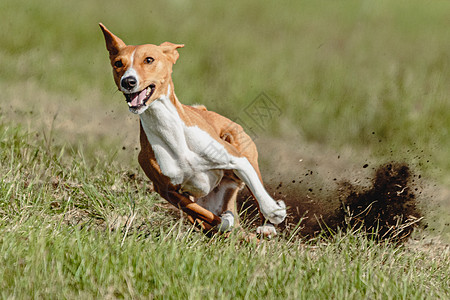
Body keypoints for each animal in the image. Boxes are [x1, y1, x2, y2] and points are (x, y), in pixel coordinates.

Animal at [100, 23, 286, 237]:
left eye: (149, 59)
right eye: (118, 63)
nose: (128, 81)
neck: (170, 132)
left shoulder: (237, 159)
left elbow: (258, 192)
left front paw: (275, 212)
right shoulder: (167, 191)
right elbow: (207, 217)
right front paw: (225, 221)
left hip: (241, 147)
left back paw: (268, 225)